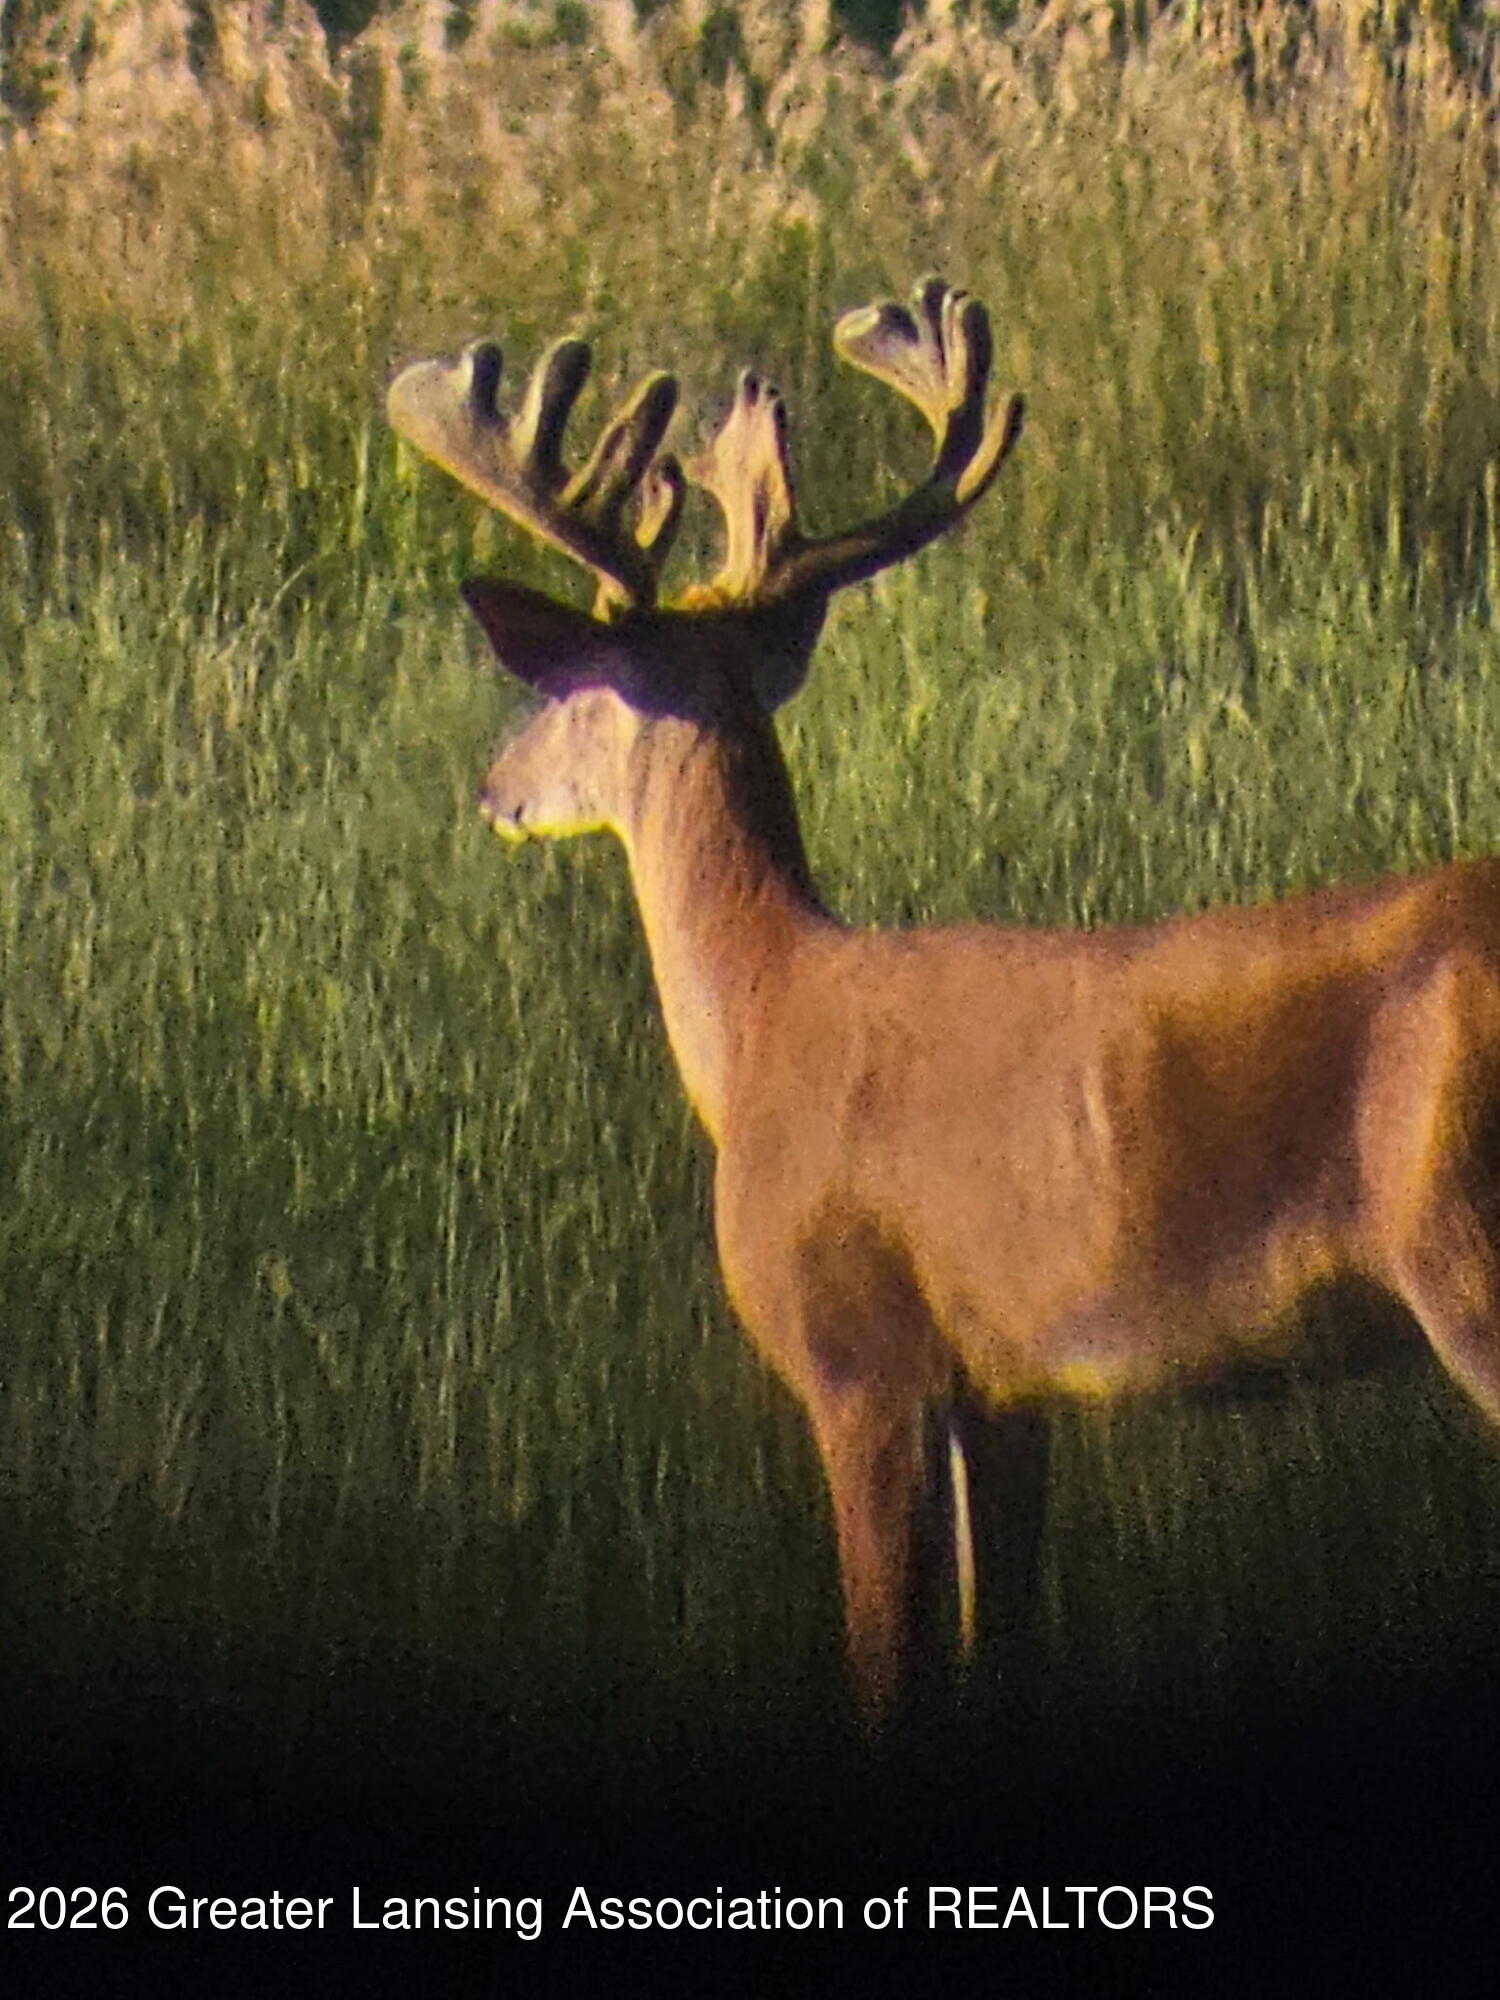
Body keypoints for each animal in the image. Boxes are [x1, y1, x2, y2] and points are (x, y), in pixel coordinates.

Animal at [389, 278, 1500, 1718]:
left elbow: (888, 1671)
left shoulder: (863, 1358)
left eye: (566, 685)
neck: (765, 1016)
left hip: (1469, 1251)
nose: (493, 788)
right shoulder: (1003, 1385)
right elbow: (995, 1647)